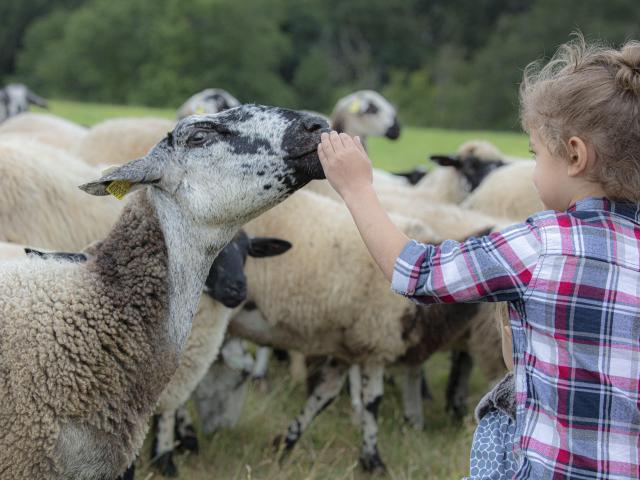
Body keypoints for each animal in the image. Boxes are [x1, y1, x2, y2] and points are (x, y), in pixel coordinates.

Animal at [229, 188, 496, 472]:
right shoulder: (376, 345)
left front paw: (285, 444)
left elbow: (323, 395)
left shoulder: (347, 350)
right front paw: (373, 460)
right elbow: (372, 402)